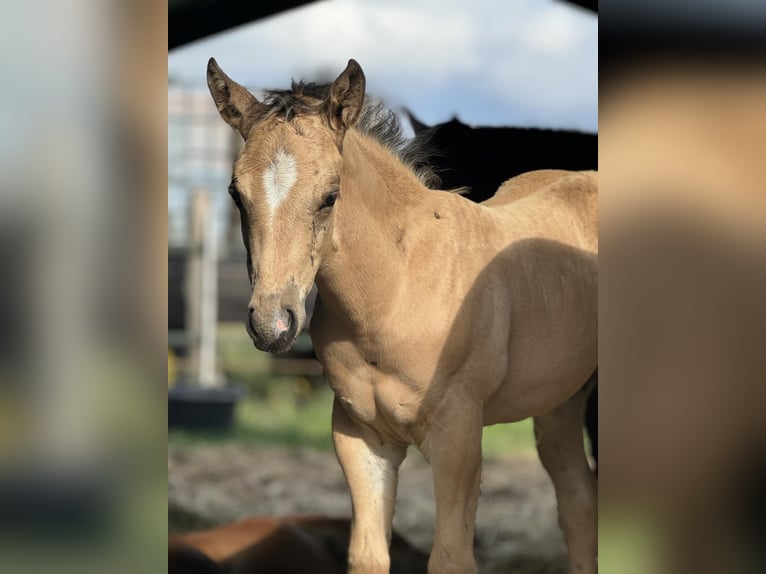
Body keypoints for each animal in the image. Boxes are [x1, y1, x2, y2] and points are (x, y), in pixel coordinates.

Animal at [210, 58, 600, 574]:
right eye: (236, 193)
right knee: (578, 502)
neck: (397, 290)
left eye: (330, 195)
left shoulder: (458, 435)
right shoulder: (360, 438)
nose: (272, 325)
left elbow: (451, 558)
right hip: (560, 401)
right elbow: (368, 554)